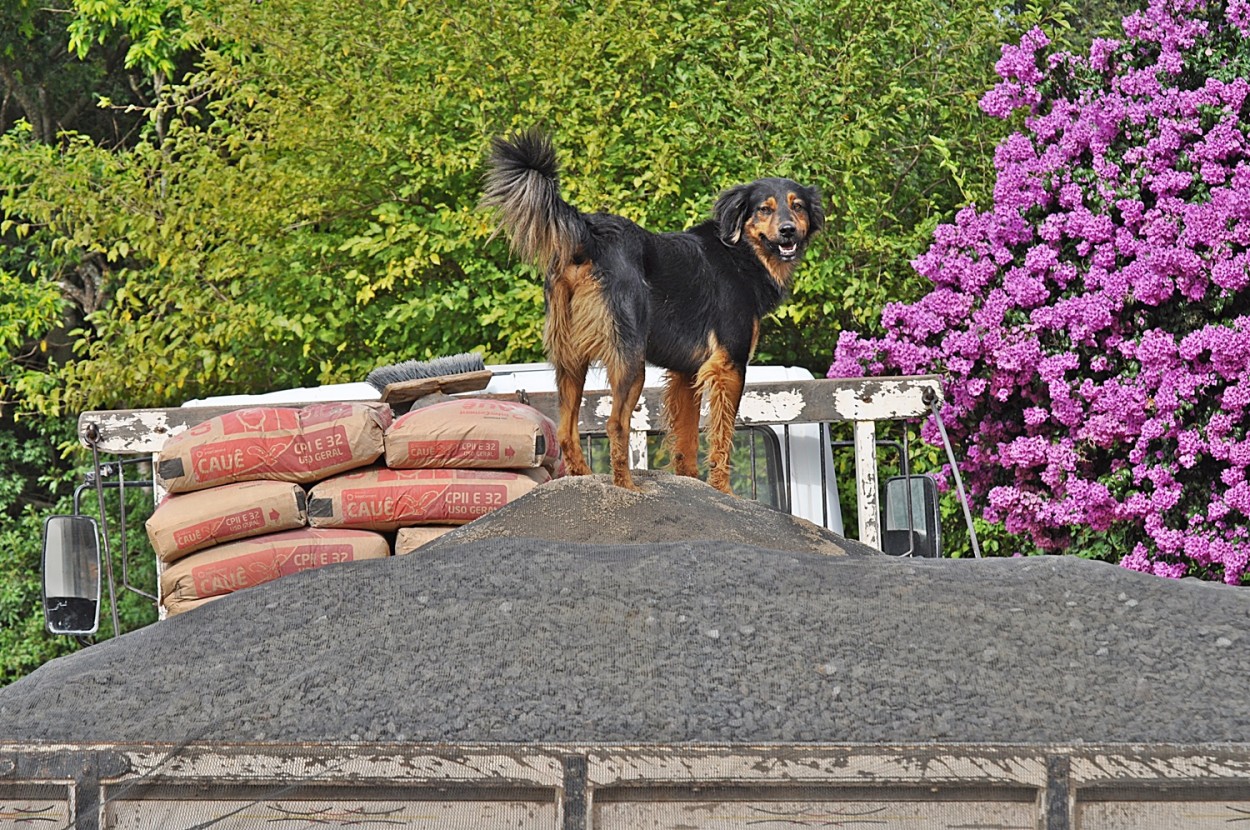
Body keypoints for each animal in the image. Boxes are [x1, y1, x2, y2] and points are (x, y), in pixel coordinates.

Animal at [482, 130, 825, 492]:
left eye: (797, 206)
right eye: (764, 209)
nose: (788, 230)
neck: (741, 252)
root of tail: (590, 231)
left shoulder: (688, 371)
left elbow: (687, 437)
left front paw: (691, 481)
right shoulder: (729, 365)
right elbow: (722, 435)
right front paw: (722, 489)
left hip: (571, 357)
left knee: (565, 431)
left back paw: (585, 476)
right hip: (631, 357)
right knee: (616, 424)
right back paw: (627, 486)